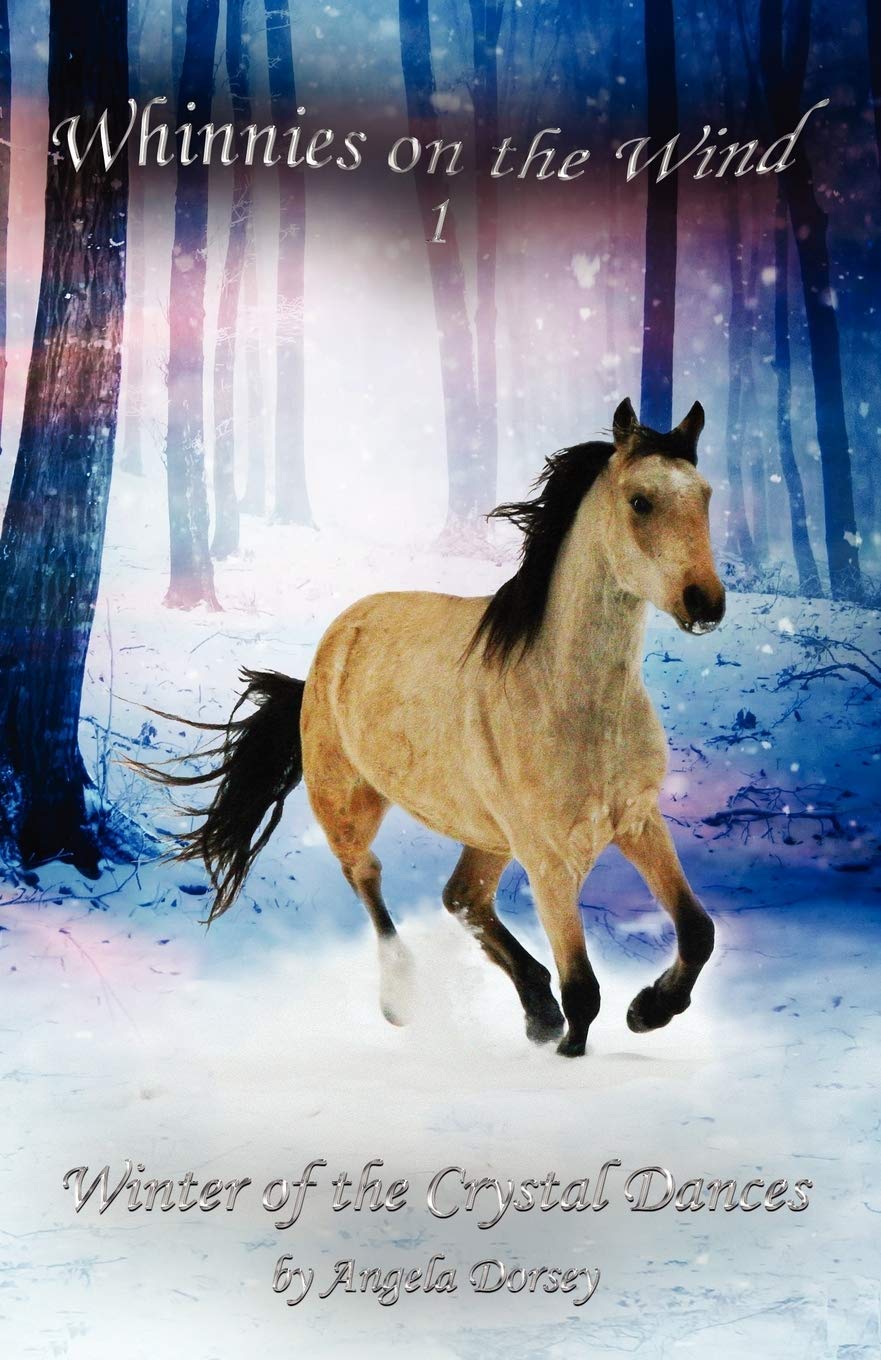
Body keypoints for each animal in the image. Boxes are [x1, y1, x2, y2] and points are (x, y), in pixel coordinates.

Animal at [137, 398, 725, 1058]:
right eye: (640, 501)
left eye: (705, 495)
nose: (705, 603)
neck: (575, 702)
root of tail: (323, 659)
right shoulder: (548, 857)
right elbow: (583, 993)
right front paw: (579, 1049)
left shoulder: (638, 820)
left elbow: (697, 930)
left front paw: (649, 1010)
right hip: (351, 808)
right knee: (368, 877)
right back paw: (405, 998)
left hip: (489, 834)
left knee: (462, 898)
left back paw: (536, 1011)